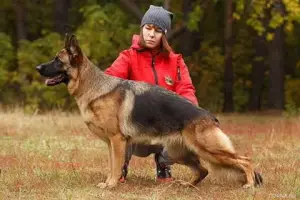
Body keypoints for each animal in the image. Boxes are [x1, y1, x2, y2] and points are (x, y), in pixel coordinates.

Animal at [35, 34, 262, 189]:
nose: (37, 68)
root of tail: (210, 117)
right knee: (204, 170)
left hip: (209, 150)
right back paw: (188, 185)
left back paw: (249, 184)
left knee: (245, 160)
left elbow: (115, 166)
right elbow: (111, 165)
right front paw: (109, 182)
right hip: (181, 153)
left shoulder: (117, 140)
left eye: (57, 60)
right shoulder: (111, 144)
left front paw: (111, 185)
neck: (95, 88)